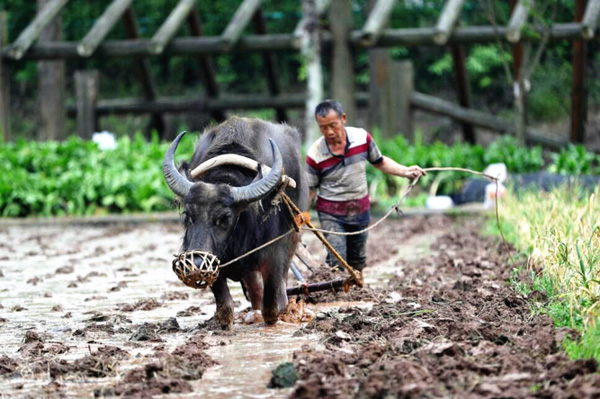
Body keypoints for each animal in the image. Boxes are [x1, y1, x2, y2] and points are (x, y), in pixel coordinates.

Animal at [162, 117, 308, 330]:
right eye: (188, 215)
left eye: (225, 218)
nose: (196, 263)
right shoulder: (214, 260)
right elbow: (225, 307)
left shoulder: (275, 251)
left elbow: (272, 305)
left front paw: (276, 314)